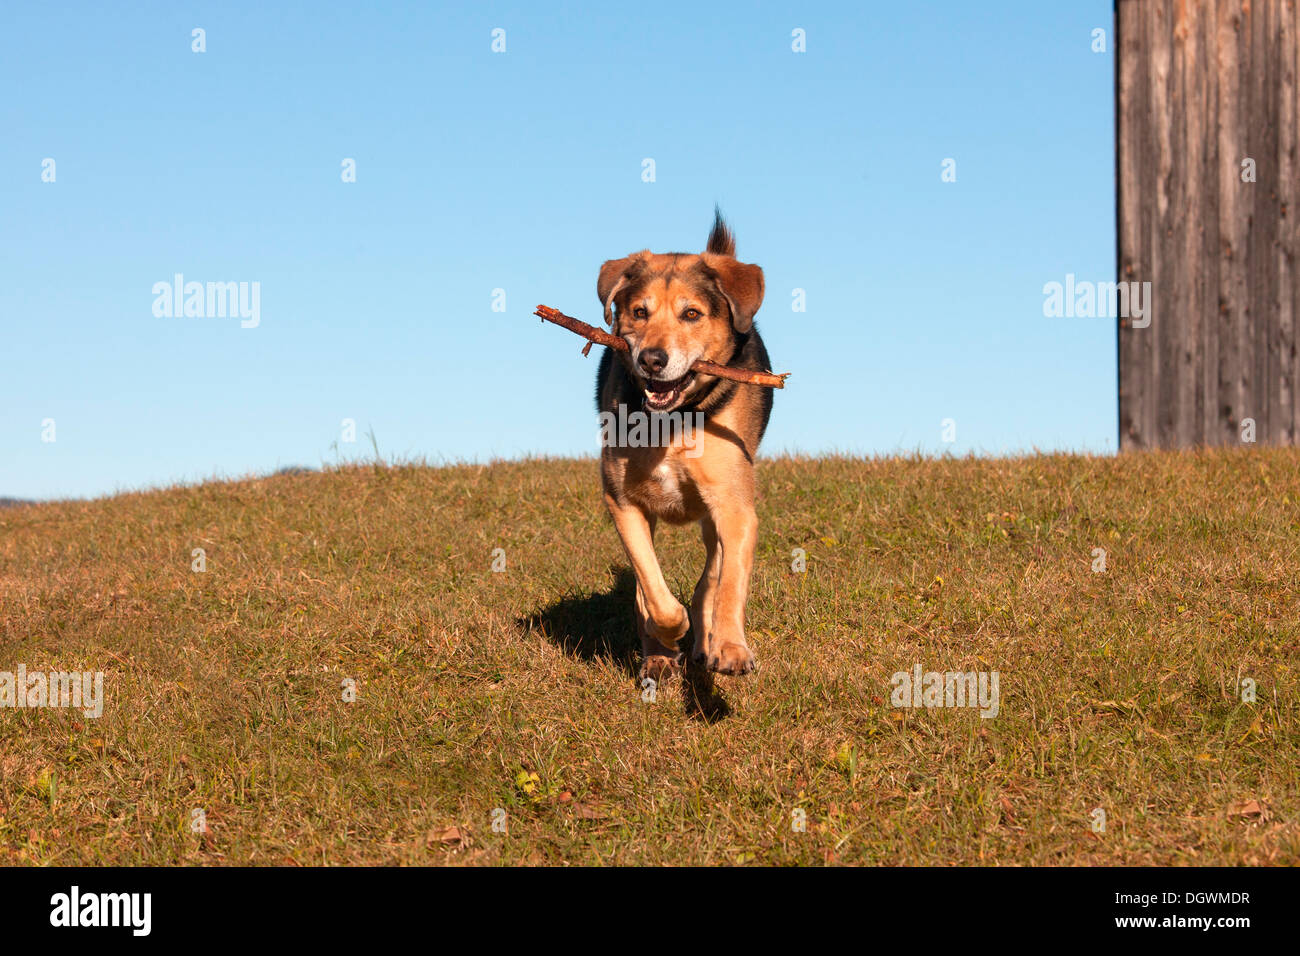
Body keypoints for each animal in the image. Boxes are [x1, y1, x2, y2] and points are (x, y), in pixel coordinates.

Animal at [595, 210, 769, 681]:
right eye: (639, 312)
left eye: (691, 313)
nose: (651, 360)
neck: (671, 421)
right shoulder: (622, 501)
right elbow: (653, 592)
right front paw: (670, 632)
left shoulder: (734, 506)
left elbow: (727, 584)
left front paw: (729, 647)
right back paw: (659, 655)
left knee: (711, 577)